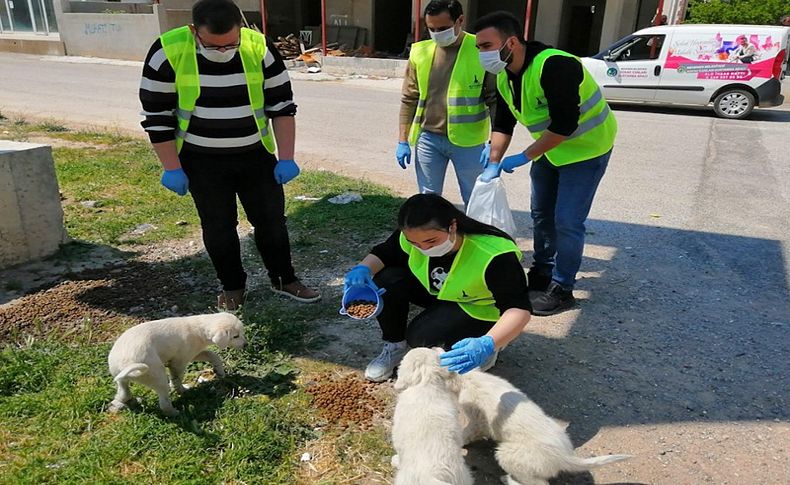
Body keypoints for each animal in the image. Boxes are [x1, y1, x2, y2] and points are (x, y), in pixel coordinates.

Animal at [106, 312, 246, 414]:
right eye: (235, 336)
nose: (246, 345)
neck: (199, 328)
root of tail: (126, 365)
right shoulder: (179, 361)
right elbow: (177, 378)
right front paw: (180, 390)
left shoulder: (192, 353)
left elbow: (213, 355)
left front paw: (220, 371)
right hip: (156, 374)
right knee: (164, 403)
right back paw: (177, 412)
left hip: (120, 377)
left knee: (123, 392)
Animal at [392, 348, 474, 484]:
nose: (435, 347)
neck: (427, 384)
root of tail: (432, 476)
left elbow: (400, 453)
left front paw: (395, 460)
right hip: (463, 477)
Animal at [458, 368, 632, 482]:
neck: (469, 377)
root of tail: (564, 457)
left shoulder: (477, 420)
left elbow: (468, 432)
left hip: (509, 456)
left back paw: (508, 479)